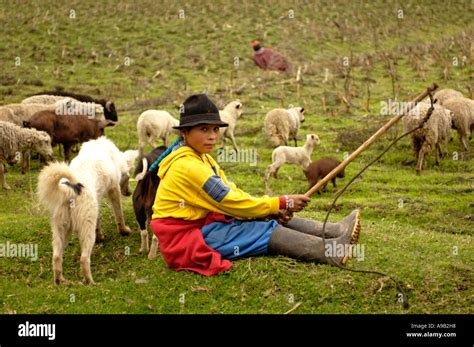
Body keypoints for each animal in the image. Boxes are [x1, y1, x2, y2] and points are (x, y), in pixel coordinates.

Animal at [37, 137, 138, 286]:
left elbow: (99, 221)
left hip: (61, 230)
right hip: (86, 229)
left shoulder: (97, 201)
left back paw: (60, 280)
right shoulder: (113, 190)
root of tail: (69, 191)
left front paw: (101, 235)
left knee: (56, 257)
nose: (129, 192)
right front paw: (124, 231)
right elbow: (119, 214)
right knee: (84, 258)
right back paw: (90, 282)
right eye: (129, 175)